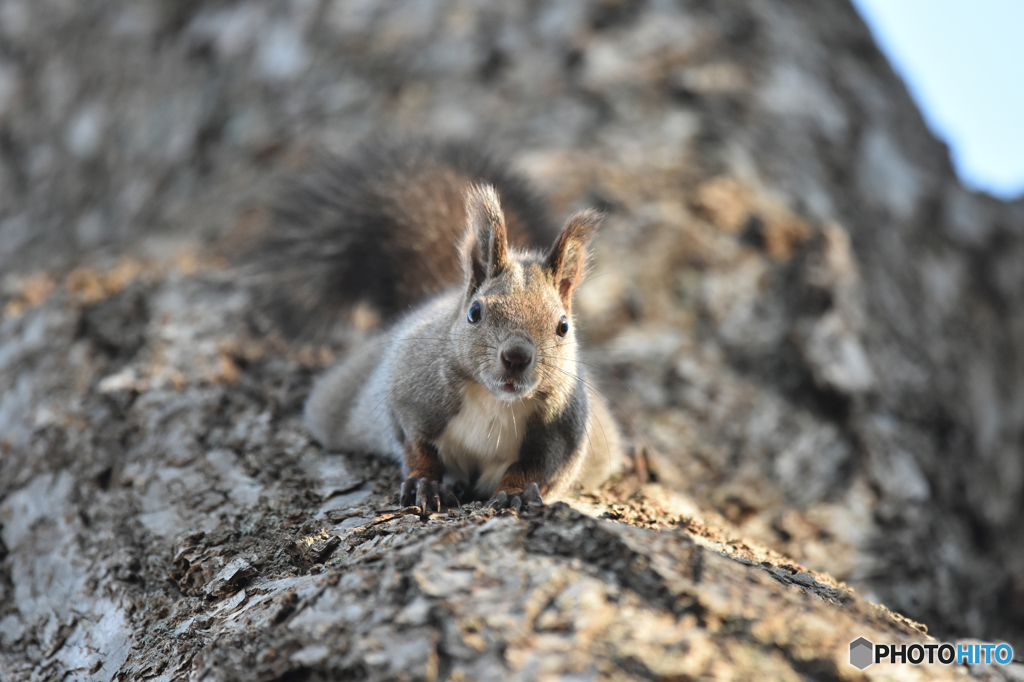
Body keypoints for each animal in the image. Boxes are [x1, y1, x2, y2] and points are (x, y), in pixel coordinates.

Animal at [256, 139, 622, 509]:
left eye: (563, 326)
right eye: (474, 313)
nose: (516, 358)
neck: (494, 400)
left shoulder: (561, 438)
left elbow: (534, 470)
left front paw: (514, 494)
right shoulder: (410, 400)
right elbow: (417, 446)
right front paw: (425, 483)